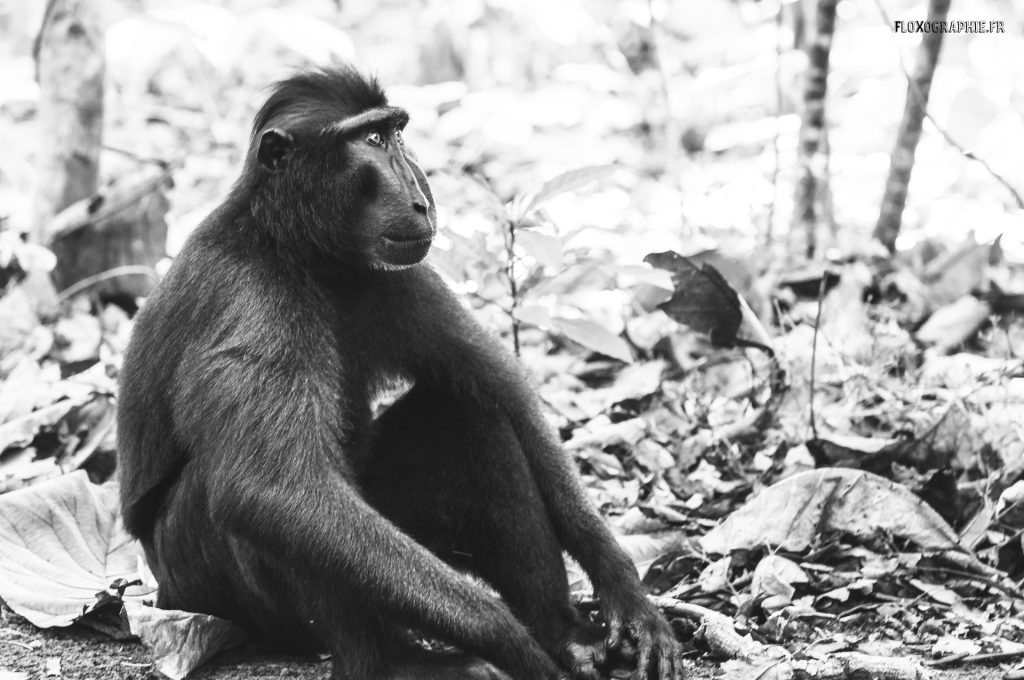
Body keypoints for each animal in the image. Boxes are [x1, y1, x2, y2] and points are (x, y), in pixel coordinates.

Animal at [117, 65, 684, 680]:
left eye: (397, 133)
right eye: (370, 140)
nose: (420, 197)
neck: (298, 247)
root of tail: (162, 592)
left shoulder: (400, 274)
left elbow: (501, 389)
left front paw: (622, 592)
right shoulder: (249, 300)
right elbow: (272, 490)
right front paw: (507, 638)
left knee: (472, 417)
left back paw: (564, 635)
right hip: (214, 588)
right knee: (265, 511)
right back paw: (394, 662)